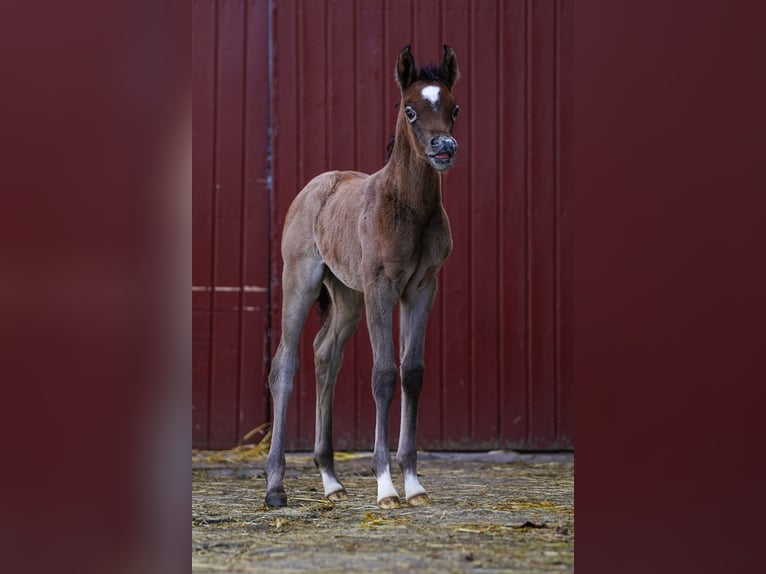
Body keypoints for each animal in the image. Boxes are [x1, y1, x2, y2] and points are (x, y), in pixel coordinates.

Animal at [266, 45, 462, 510]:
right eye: (410, 109)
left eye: (454, 108)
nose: (444, 148)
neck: (408, 208)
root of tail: (316, 185)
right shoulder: (380, 289)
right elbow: (384, 375)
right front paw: (386, 486)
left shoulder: (421, 290)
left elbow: (413, 373)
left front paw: (414, 484)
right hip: (302, 280)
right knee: (284, 365)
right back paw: (275, 487)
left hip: (347, 296)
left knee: (325, 355)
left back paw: (331, 480)